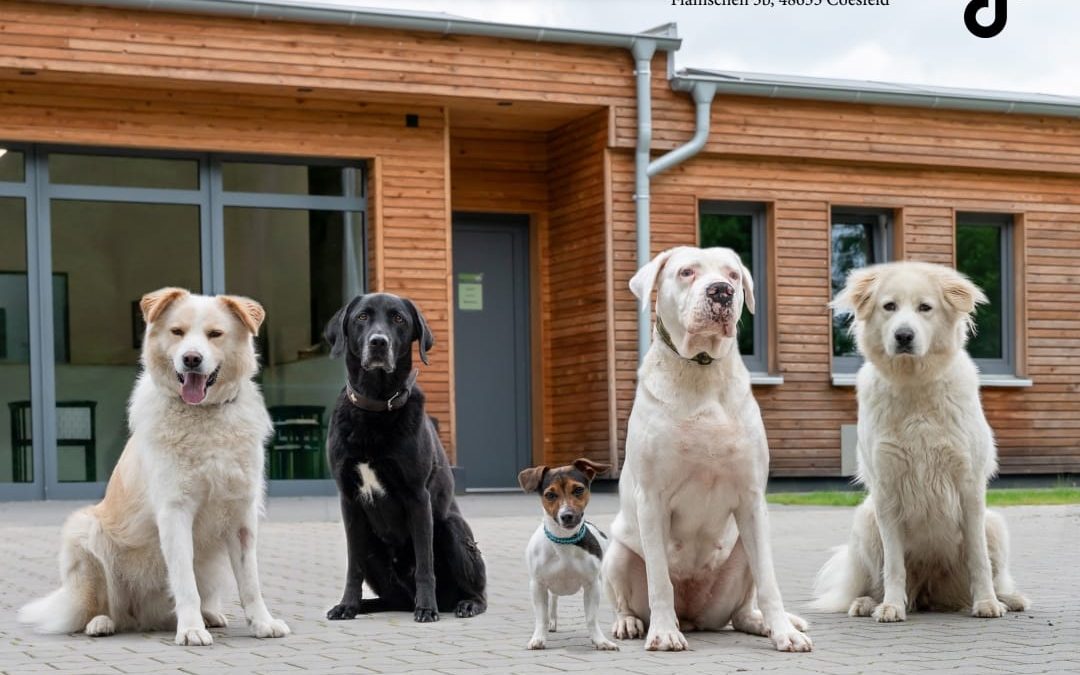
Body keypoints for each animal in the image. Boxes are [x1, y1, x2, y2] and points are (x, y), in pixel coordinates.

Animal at [21, 285, 291, 643]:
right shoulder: (175, 511)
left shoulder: (241, 515)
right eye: (177, 332)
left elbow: (250, 582)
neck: (203, 417)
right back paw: (102, 623)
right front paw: (190, 630)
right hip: (84, 530)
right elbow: (185, 582)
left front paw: (262, 623)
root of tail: (142, 618)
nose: (191, 359)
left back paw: (210, 615)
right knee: (100, 606)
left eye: (214, 334)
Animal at [604, 247, 807, 652]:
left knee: (742, 608)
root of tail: (693, 616)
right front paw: (663, 633)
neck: (701, 369)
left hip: (742, 550)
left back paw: (761, 624)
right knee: (625, 597)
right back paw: (631, 623)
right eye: (686, 272)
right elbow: (659, 580)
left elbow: (769, 581)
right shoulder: (651, 499)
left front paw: (784, 632)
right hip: (616, 551)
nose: (721, 292)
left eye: (732, 275)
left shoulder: (751, 498)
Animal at [816, 260, 1028, 617]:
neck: (914, 383)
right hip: (866, 520)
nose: (904, 335)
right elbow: (893, 566)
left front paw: (987, 603)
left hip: (994, 525)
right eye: (889, 306)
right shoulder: (886, 490)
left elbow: (979, 560)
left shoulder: (969, 487)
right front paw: (890, 607)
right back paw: (868, 602)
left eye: (924, 308)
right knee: (880, 580)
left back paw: (1008, 599)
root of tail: (931, 592)